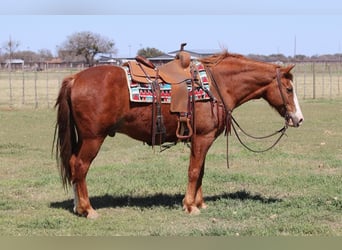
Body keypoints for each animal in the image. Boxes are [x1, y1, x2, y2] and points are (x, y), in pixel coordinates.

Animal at [54, 51, 304, 218]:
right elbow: (193, 171)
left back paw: (78, 207)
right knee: (80, 166)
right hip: (93, 138)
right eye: (289, 89)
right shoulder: (202, 137)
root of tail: (75, 79)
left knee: (73, 165)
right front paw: (190, 205)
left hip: (84, 138)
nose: (298, 119)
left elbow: (201, 171)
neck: (216, 85)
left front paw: (200, 203)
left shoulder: (200, 140)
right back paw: (88, 209)